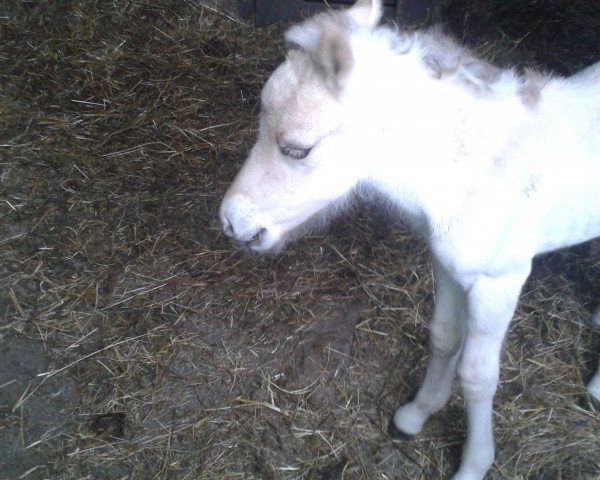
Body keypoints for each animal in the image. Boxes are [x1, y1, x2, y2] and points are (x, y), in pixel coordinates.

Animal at [219, 1, 600, 478]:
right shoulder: (449, 266)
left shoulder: (499, 279)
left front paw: (474, 463)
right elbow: (444, 336)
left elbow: (478, 376)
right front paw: (416, 415)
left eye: (297, 150)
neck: (477, 169)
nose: (231, 221)